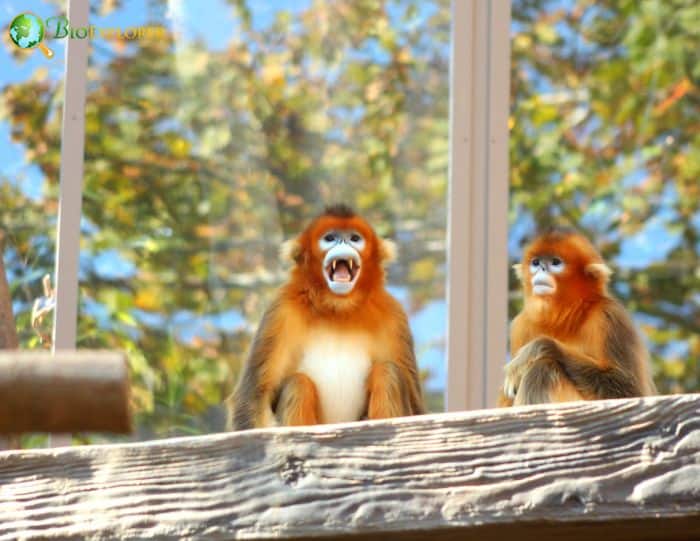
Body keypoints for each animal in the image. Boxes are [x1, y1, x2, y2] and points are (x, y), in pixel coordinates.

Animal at [228, 204, 425, 429]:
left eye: (354, 238)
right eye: (330, 238)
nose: (343, 242)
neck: (338, 309)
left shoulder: (393, 315)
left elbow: (417, 408)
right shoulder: (281, 309)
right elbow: (253, 396)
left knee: (388, 373)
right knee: (297, 384)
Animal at [500, 228, 656, 407]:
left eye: (555, 262)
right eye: (535, 262)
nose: (541, 268)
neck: (564, 318)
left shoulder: (610, 315)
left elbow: (628, 389)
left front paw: (538, 348)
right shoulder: (520, 326)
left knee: (544, 367)